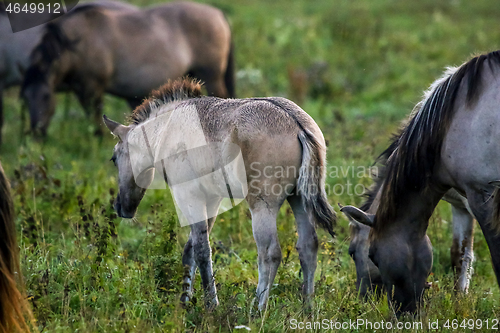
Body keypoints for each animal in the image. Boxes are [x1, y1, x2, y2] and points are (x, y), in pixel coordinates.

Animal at [21, 1, 234, 136]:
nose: (36, 133)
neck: (79, 42)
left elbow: (95, 116)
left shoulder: (91, 88)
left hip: (212, 77)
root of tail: (218, 14)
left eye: (46, 96)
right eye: (24, 98)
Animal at [340, 50, 500, 316]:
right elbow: (460, 256)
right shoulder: (462, 205)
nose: (363, 301)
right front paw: (459, 302)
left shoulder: (482, 198)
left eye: (355, 253)